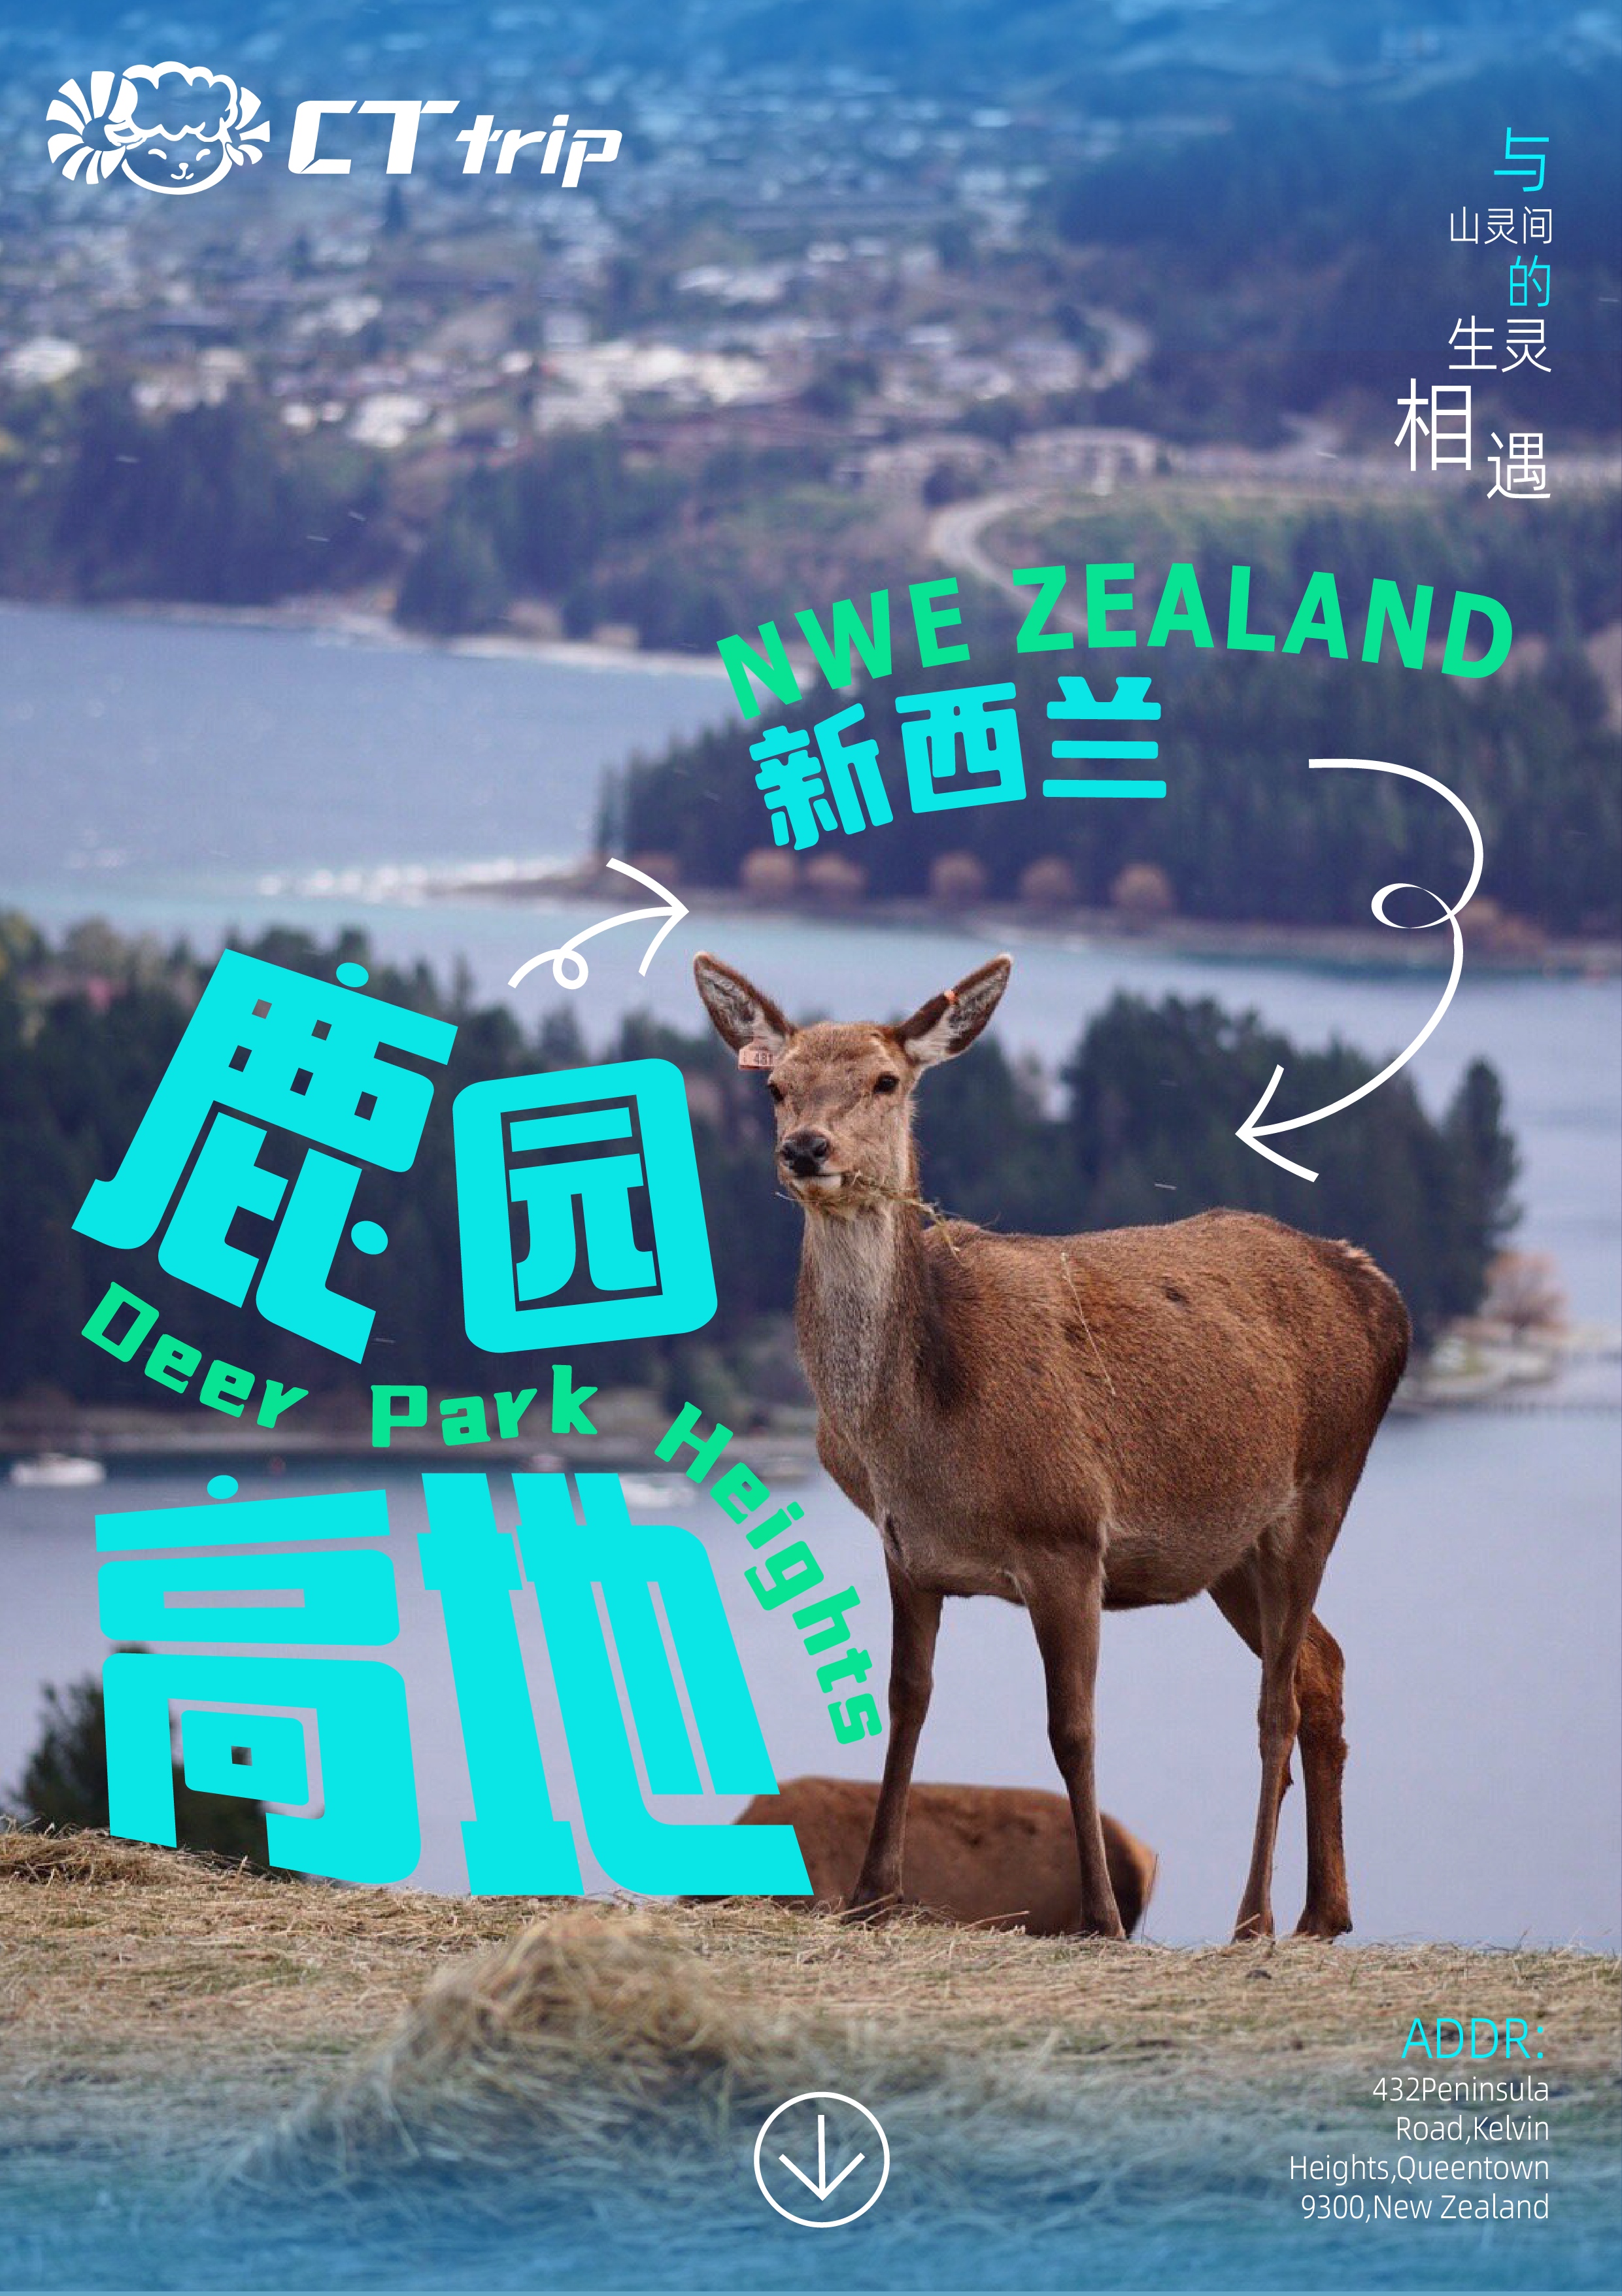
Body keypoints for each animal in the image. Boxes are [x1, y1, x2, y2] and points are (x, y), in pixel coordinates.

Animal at [693, 950, 1411, 1943]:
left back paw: (1255, 1916)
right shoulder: (907, 1550)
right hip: (1229, 1547)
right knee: (1320, 1667)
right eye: (776, 1086)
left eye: (885, 1080)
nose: (806, 1149)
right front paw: (875, 1892)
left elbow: (1071, 1728)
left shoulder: (1067, 1536)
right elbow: (906, 1703)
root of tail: (1384, 1293)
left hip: (1321, 1486)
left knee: (1275, 1698)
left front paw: (1100, 1916)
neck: (916, 1438)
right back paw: (1325, 1912)